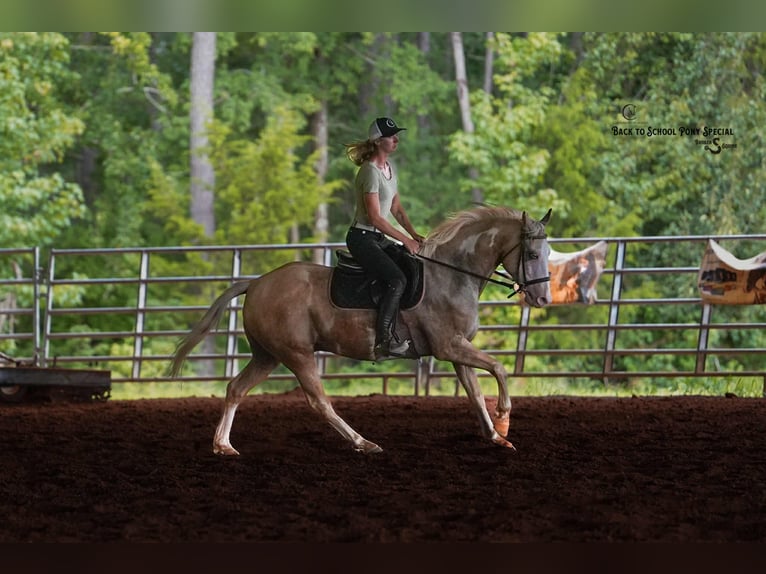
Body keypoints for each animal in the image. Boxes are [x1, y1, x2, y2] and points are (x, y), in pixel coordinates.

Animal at [170, 206, 553, 455]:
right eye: (532, 253)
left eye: (548, 251)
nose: (543, 297)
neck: (452, 274)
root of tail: (257, 283)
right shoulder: (449, 346)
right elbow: (500, 369)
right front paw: (503, 420)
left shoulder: (457, 350)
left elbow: (474, 393)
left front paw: (496, 437)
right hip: (297, 354)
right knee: (319, 401)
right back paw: (362, 442)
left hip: (268, 355)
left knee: (236, 388)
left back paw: (223, 445)